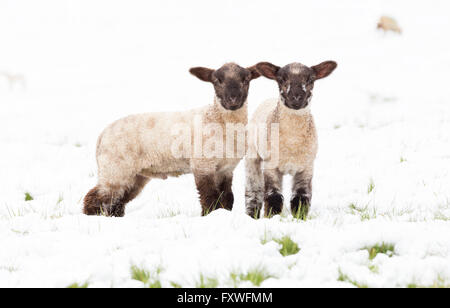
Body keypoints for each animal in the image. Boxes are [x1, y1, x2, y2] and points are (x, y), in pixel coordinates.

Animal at [84, 62, 260, 217]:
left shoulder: (226, 168)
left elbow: (227, 198)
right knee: (96, 198)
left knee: (116, 201)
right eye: (217, 81)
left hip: (134, 175)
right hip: (116, 168)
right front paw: (209, 216)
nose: (233, 99)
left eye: (246, 79)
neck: (219, 122)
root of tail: (102, 135)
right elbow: (210, 197)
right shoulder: (202, 164)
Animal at [246, 60, 338, 219]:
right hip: (253, 156)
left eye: (310, 80)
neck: (292, 143)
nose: (296, 97)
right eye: (281, 80)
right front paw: (272, 217)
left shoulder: (307, 167)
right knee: (253, 193)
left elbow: (301, 196)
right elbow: (273, 196)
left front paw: (300, 218)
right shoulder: (271, 165)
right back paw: (251, 215)